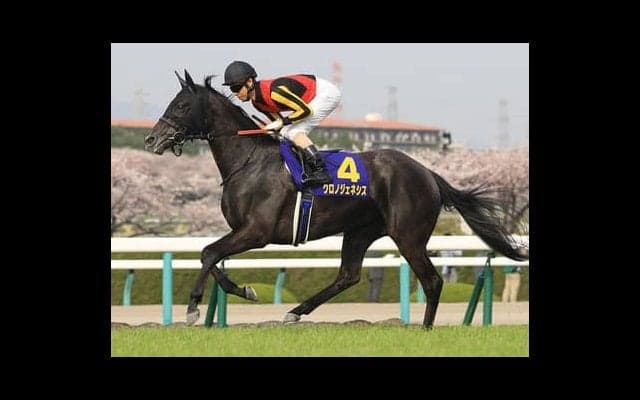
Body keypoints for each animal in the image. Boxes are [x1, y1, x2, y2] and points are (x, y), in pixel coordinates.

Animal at [143, 70, 528, 328]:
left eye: (181, 104)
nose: (151, 140)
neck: (248, 160)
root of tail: (427, 173)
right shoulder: (243, 232)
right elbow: (211, 258)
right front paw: (246, 291)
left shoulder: (257, 231)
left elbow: (209, 253)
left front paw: (193, 308)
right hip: (360, 231)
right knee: (348, 275)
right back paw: (294, 312)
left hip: (408, 235)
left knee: (432, 281)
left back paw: (425, 329)